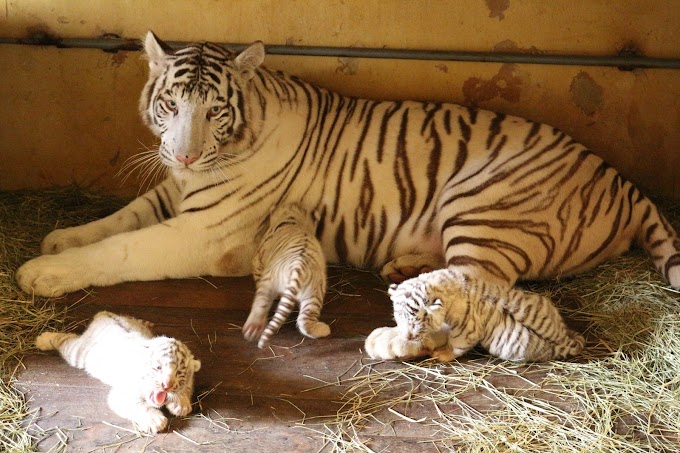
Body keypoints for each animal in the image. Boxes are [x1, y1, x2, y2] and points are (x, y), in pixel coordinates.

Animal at [16, 31, 680, 329]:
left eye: (215, 111)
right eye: (170, 106)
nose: (182, 156)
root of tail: (622, 179)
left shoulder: (203, 232)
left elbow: (123, 248)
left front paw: (42, 271)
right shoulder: (170, 193)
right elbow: (115, 220)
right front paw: (59, 237)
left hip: (486, 202)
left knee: (482, 291)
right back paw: (405, 267)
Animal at [35, 311, 201, 433]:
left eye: (179, 373)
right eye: (158, 367)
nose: (165, 385)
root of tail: (103, 315)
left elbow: (188, 386)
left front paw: (182, 404)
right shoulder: (121, 394)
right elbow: (139, 406)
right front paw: (154, 420)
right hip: (78, 353)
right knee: (64, 339)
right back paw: (43, 339)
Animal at [243, 203, 329, 348]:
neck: (293, 220)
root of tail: (299, 266)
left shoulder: (257, 262)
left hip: (268, 283)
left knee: (260, 305)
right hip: (314, 292)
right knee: (305, 321)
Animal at [365, 269, 585, 362]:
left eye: (418, 321)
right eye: (399, 317)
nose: (407, 336)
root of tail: (565, 342)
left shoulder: (466, 329)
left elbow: (456, 346)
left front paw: (441, 354)